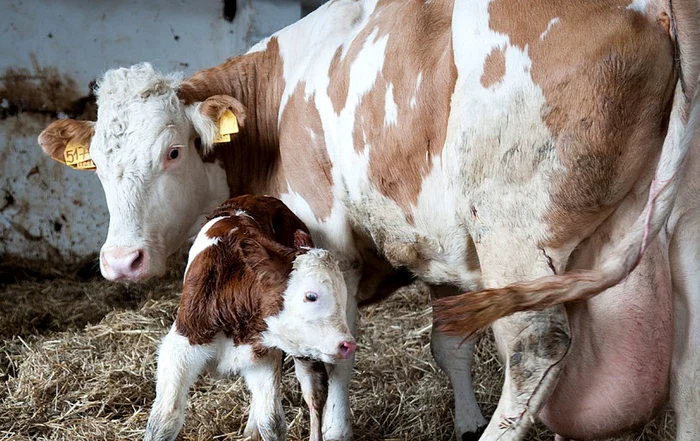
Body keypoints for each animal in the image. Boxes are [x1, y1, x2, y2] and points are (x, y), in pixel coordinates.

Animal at [145, 195, 356, 441]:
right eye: (311, 296)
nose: (347, 345)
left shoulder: (263, 356)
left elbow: (272, 421)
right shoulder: (181, 346)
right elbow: (163, 422)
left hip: (304, 349)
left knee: (314, 392)